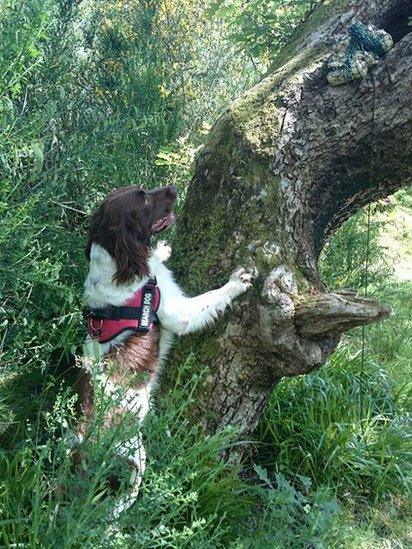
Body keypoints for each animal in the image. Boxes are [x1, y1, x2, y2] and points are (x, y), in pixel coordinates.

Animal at [76, 185, 253, 520]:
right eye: (144, 198)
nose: (172, 188)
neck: (117, 263)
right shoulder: (175, 312)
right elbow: (212, 297)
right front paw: (236, 283)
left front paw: (161, 250)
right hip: (134, 453)